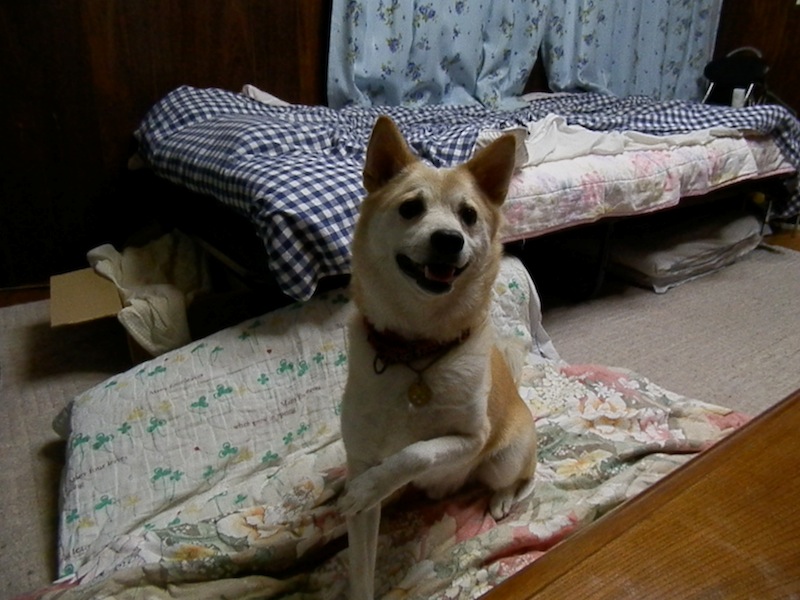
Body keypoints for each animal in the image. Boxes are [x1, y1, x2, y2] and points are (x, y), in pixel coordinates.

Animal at [338, 115, 537, 600]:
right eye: (411, 208)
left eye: (469, 215)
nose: (449, 239)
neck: (415, 349)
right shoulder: (360, 458)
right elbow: (361, 563)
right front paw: (365, 493)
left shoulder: (471, 437)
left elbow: (417, 453)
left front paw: (372, 484)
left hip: (505, 456)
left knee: (522, 478)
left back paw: (501, 499)